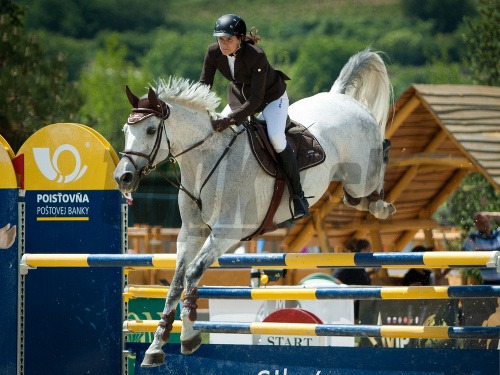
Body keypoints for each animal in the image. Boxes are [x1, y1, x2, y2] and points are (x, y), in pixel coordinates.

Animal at [115, 47, 396, 368]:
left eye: (151, 130)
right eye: (126, 130)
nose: (123, 177)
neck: (205, 160)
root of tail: (341, 98)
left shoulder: (225, 234)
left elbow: (192, 275)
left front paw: (187, 337)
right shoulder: (191, 233)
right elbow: (176, 283)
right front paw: (156, 347)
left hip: (360, 176)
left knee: (377, 165)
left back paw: (383, 203)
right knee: (354, 198)